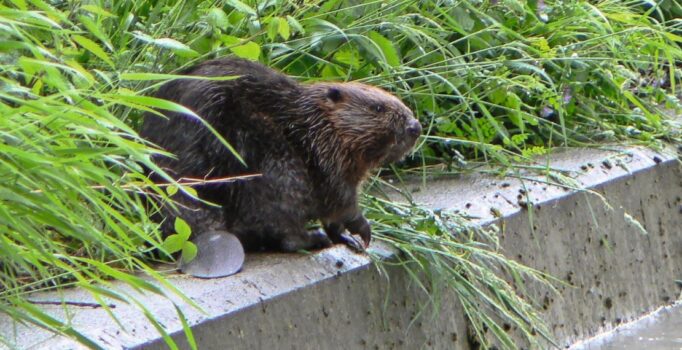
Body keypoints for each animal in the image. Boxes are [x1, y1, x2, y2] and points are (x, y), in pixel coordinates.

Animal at [139, 58, 420, 258]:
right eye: (377, 107)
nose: (415, 127)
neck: (314, 121)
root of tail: (210, 237)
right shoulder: (325, 155)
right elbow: (340, 202)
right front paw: (363, 232)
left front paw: (350, 238)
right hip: (280, 164)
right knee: (287, 233)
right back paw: (315, 238)